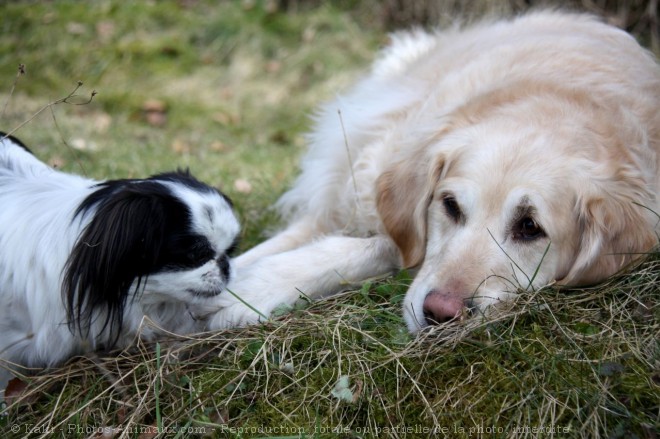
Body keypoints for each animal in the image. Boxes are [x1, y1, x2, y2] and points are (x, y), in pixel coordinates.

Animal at [209, 10, 660, 332]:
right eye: (450, 206)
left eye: (530, 227)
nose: (441, 313)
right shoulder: (344, 198)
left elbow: (374, 247)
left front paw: (247, 291)